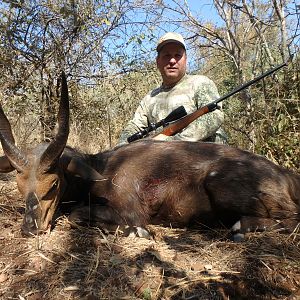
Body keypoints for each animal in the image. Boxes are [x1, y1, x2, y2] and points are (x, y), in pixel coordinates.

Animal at [0, 73, 298, 239]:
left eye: (53, 184)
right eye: (19, 185)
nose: (30, 228)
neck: (103, 168)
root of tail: (287, 176)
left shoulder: (131, 210)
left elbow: (78, 214)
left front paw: (139, 233)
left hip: (221, 185)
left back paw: (240, 228)